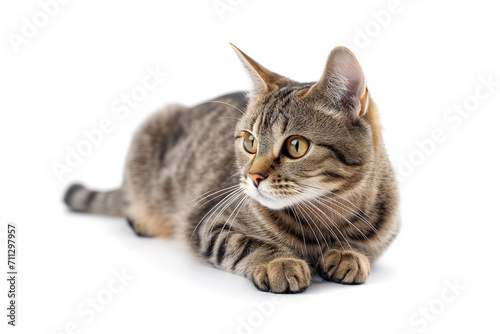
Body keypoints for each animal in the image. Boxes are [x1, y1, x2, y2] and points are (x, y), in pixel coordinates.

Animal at [63, 43, 398, 292]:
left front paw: (347, 253)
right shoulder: (210, 223)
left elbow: (367, 247)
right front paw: (279, 262)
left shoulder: (386, 235)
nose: (252, 176)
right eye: (250, 141)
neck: (325, 216)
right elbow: (246, 244)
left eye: (296, 146)